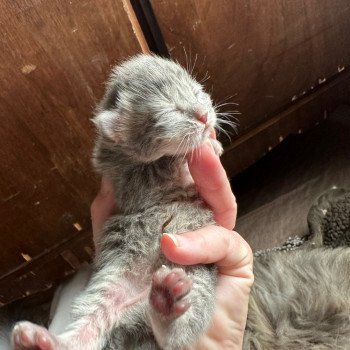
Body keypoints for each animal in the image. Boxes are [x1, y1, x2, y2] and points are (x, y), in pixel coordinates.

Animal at [10, 54, 226, 350]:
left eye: (197, 92)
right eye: (172, 111)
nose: (204, 116)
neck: (125, 155)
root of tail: (140, 302)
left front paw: (212, 145)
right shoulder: (126, 182)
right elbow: (162, 170)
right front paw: (191, 153)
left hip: (197, 275)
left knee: (183, 323)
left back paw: (165, 305)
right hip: (108, 283)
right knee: (101, 324)